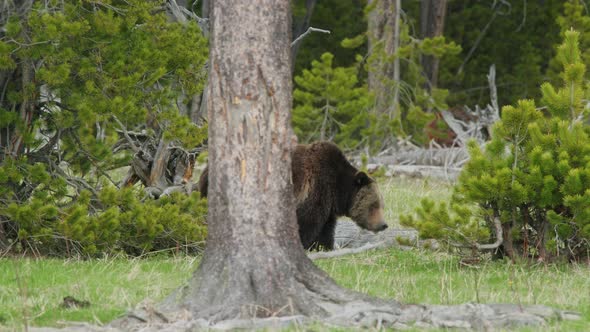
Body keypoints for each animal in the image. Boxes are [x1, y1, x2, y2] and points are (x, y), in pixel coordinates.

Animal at [198, 141, 388, 250]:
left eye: (381, 204)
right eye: (374, 205)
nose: (383, 224)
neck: (337, 189)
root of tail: (206, 171)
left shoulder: (327, 206)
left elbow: (326, 229)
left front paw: (323, 247)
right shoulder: (314, 191)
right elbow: (307, 224)